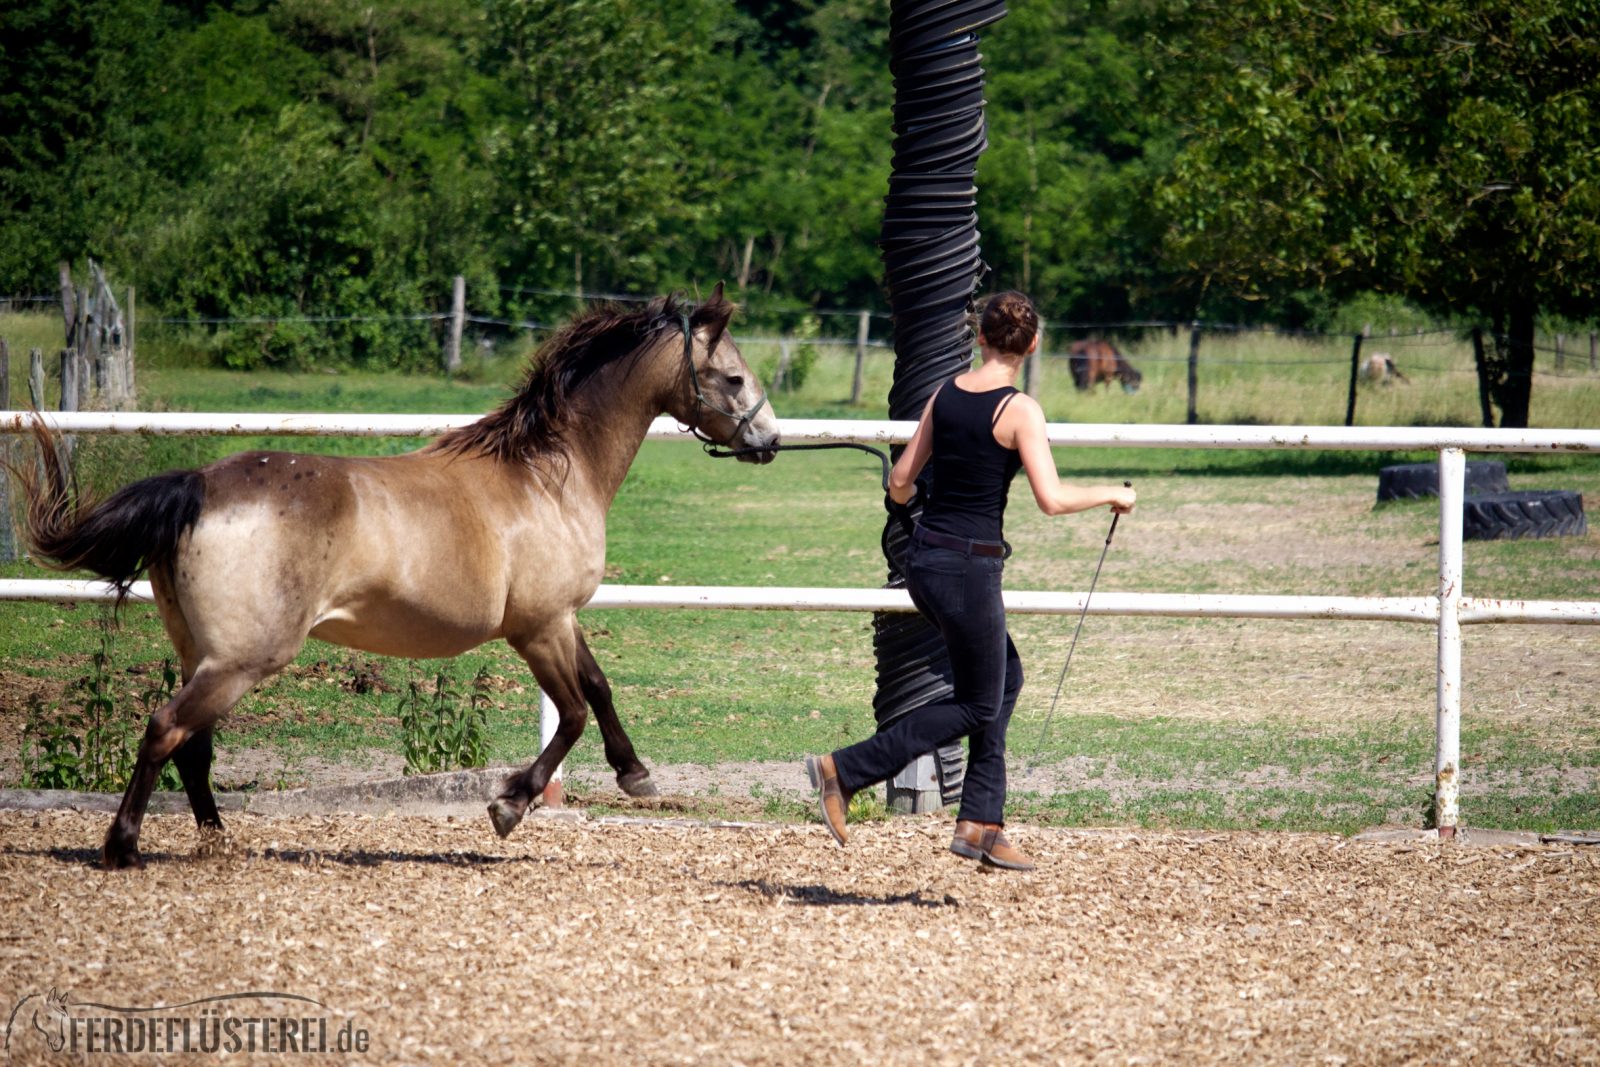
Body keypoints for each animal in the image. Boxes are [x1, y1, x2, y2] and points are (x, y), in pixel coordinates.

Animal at [15, 286, 777, 870]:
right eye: (734, 377)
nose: (768, 440)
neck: (548, 476)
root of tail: (199, 485)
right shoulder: (539, 625)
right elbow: (574, 711)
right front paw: (509, 805)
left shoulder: (557, 619)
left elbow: (597, 689)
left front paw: (632, 774)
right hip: (243, 658)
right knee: (165, 730)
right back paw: (123, 846)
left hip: (202, 652)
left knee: (191, 747)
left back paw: (217, 842)